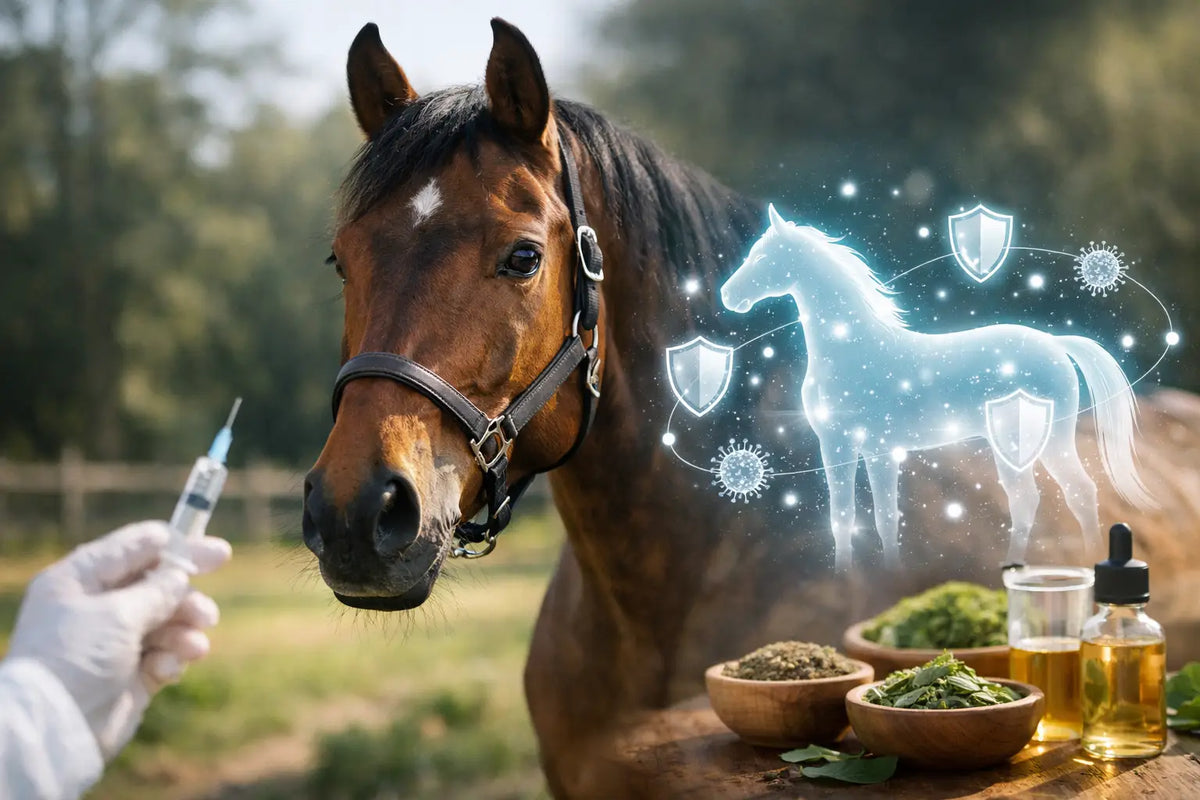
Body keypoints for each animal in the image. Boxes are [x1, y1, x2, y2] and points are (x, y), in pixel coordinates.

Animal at [720, 205, 1151, 570]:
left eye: (763, 257)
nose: (727, 296)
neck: (854, 351)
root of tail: (1056, 345)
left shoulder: (878, 449)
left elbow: (885, 518)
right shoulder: (835, 446)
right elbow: (842, 518)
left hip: (1046, 441)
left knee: (1076, 493)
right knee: (1031, 500)